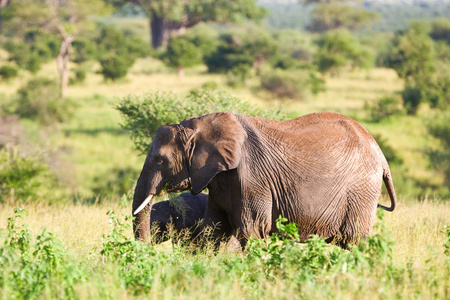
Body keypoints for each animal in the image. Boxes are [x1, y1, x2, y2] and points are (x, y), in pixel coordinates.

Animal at [131, 112, 398, 248]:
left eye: (160, 160)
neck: (198, 126)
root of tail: (381, 156)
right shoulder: (220, 179)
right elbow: (213, 228)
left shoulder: (251, 179)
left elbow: (252, 229)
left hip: (361, 189)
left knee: (353, 239)